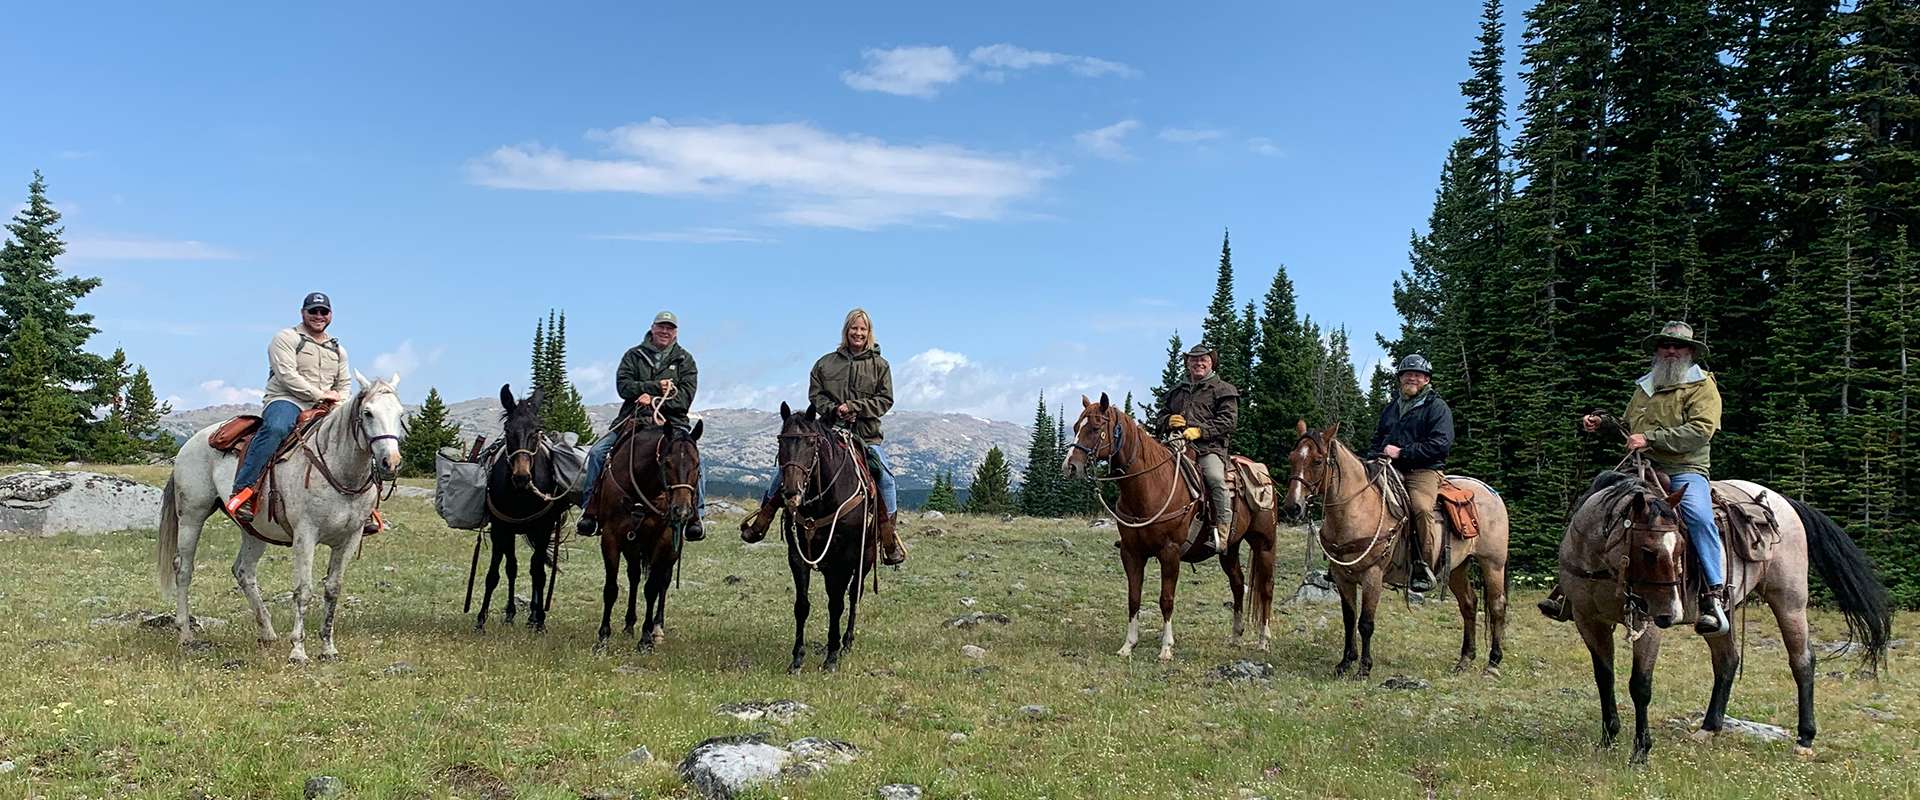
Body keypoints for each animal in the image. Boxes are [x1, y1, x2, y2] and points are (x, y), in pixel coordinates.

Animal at [158, 370, 408, 663]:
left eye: (400, 414)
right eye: (368, 413)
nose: (390, 462)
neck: (340, 469)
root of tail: (191, 443)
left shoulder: (350, 538)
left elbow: (332, 590)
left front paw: (328, 647)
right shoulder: (305, 535)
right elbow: (303, 590)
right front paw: (298, 650)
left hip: (254, 530)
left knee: (243, 571)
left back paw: (267, 631)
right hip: (192, 515)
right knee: (183, 569)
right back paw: (185, 633)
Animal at [472, 383, 568, 633]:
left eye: (537, 430)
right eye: (507, 430)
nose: (522, 477)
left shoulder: (543, 530)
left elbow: (538, 573)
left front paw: (540, 621)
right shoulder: (500, 530)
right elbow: (496, 573)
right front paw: (481, 620)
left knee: (535, 568)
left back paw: (533, 616)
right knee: (512, 567)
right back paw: (511, 614)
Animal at [591, 414, 706, 652]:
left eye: (697, 464)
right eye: (667, 463)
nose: (681, 511)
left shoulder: (664, 540)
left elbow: (652, 588)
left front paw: (645, 639)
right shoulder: (611, 537)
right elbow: (611, 588)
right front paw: (603, 637)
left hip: (670, 549)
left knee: (664, 580)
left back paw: (657, 629)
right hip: (633, 546)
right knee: (634, 576)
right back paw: (629, 625)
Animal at [1067, 393, 1274, 659]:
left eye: (1094, 428)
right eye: (1075, 428)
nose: (1070, 466)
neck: (1150, 485)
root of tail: (1262, 473)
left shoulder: (1170, 552)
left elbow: (1166, 599)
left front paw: (1166, 648)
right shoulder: (1131, 553)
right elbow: (1133, 598)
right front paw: (1128, 645)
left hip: (1264, 544)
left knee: (1266, 589)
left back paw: (1263, 640)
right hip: (1230, 549)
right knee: (1238, 585)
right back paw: (1236, 636)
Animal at [1282, 420, 1505, 675]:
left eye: (1318, 461)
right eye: (1292, 457)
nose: (1292, 507)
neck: (1356, 509)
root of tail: (1492, 493)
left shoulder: (1373, 575)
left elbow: (1365, 623)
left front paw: (1364, 668)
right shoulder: (1342, 576)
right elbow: (1349, 619)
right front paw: (1345, 662)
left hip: (1493, 564)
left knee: (1497, 606)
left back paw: (1493, 662)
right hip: (1458, 567)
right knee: (1468, 604)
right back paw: (1465, 659)